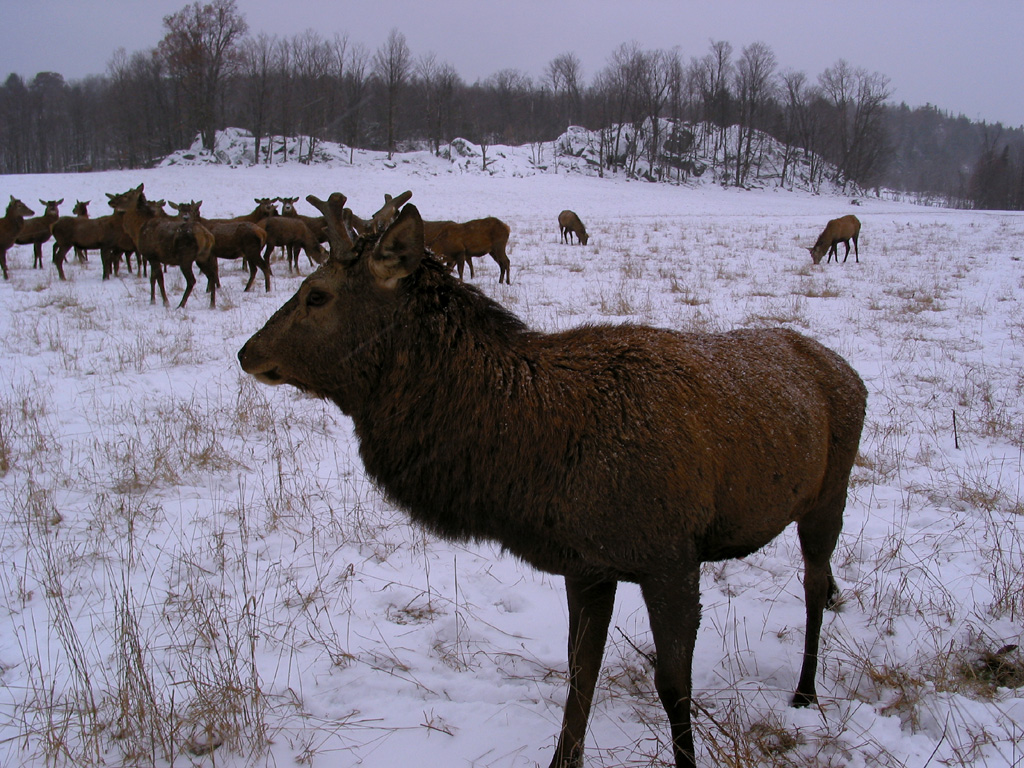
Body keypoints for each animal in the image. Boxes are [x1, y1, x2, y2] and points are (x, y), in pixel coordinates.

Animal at [239, 198, 864, 768]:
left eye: (316, 294)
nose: (247, 352)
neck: (540, 462)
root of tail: (849, 371)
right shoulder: (587, 565)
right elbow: (579, 673)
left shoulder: (672, 556)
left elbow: (673, 688)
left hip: (829, 493)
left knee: (815, 586)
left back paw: (805, 691)